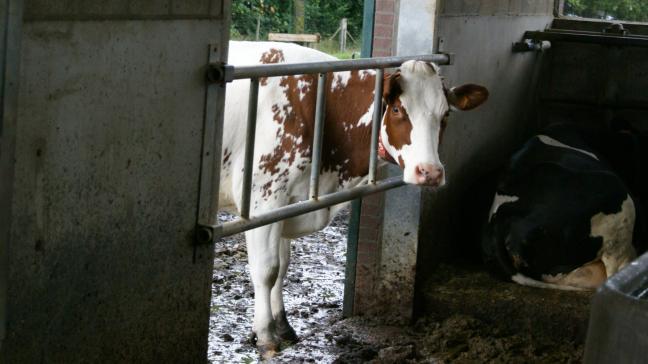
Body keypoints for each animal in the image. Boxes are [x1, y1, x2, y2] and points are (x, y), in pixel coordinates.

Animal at [220, 41, 488, 356]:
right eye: (397, 109)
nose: (430, 172)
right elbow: (267, 269)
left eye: (446, 114)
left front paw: (282, 325)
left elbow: (283, 266)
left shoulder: (289, 203)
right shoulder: (264, 196)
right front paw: (265, 335)